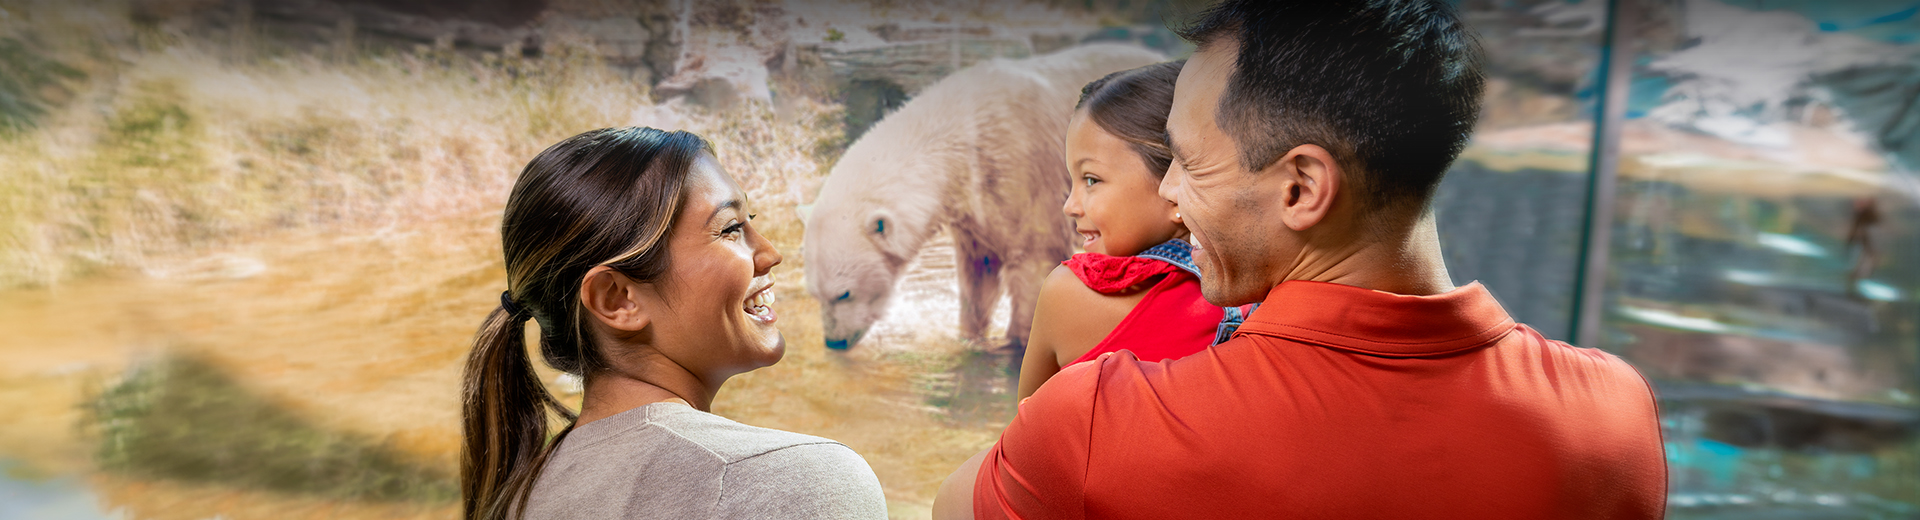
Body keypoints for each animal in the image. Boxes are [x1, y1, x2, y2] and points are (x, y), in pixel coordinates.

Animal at [802, 44, 1159, 351]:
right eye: (815, 294)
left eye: (844, 293)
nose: (834, 342)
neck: (962, 135)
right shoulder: (975, 203)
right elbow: (979, 272)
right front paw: (970, 337)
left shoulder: (1022, 170)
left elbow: (1034, 256)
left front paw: (1017, 342)